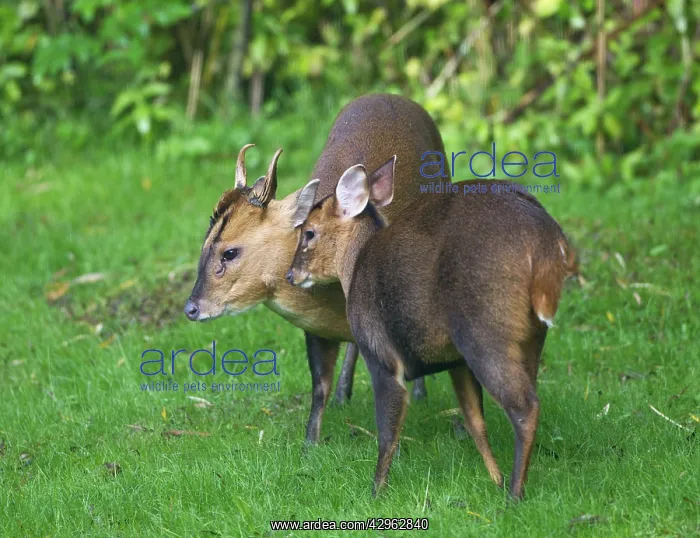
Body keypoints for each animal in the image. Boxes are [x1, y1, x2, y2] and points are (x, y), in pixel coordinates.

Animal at [183, 94, 445, 444]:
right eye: (204, 243)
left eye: (230, 252)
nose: (192, 308)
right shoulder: (316, 330)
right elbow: (319, 387)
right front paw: (310, 444)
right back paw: (344, 394)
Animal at [287, 160, 576, 500]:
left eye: (309, 232)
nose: (291, 274)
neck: (355, 266)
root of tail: (545, 241)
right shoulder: (456, 362)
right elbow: (475, 422)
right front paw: (495, 478)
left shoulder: (381, 353)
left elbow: (387, 430)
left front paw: (375, 493)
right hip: (530, 336)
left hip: (485, 331)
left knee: (524, 407)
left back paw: (514, 497)